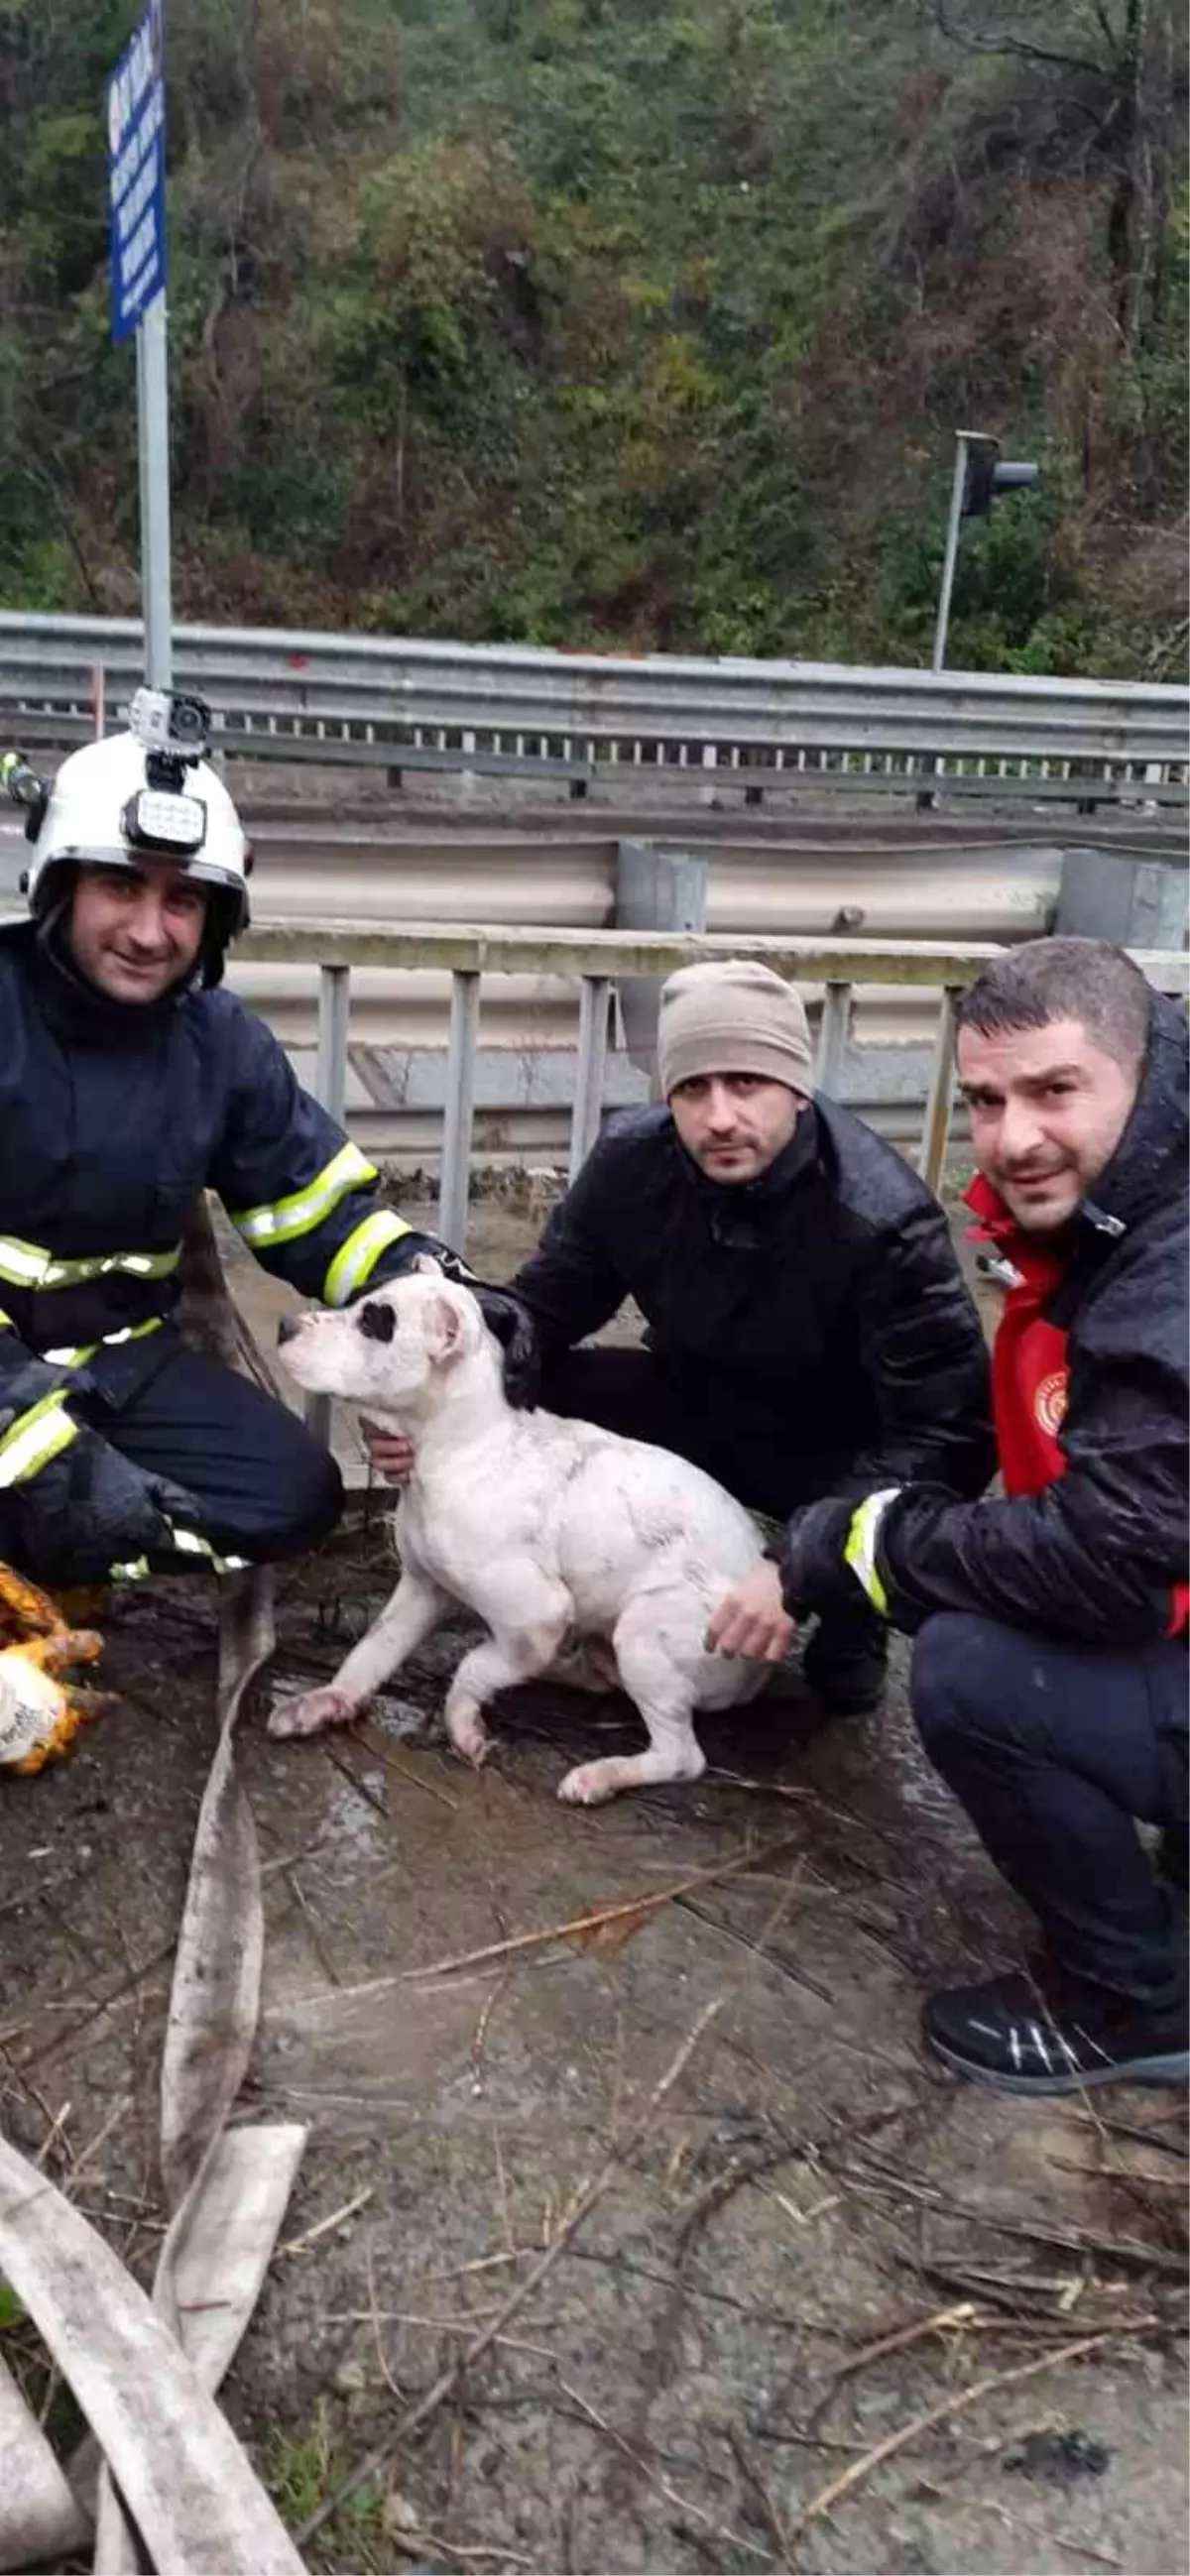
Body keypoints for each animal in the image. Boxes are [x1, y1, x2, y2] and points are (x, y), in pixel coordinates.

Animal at [268, 1272, 768, 1803]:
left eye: (374, 1323)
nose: (286, 1325)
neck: (465, 1446)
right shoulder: (421, 1588)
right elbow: (371, 1651)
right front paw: (328, 1699)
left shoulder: (535, 1617)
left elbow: (474, 1664)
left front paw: (463, 1725)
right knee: (601, 1679)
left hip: (647, 1631)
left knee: (681, 1756)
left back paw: (598, 1775)